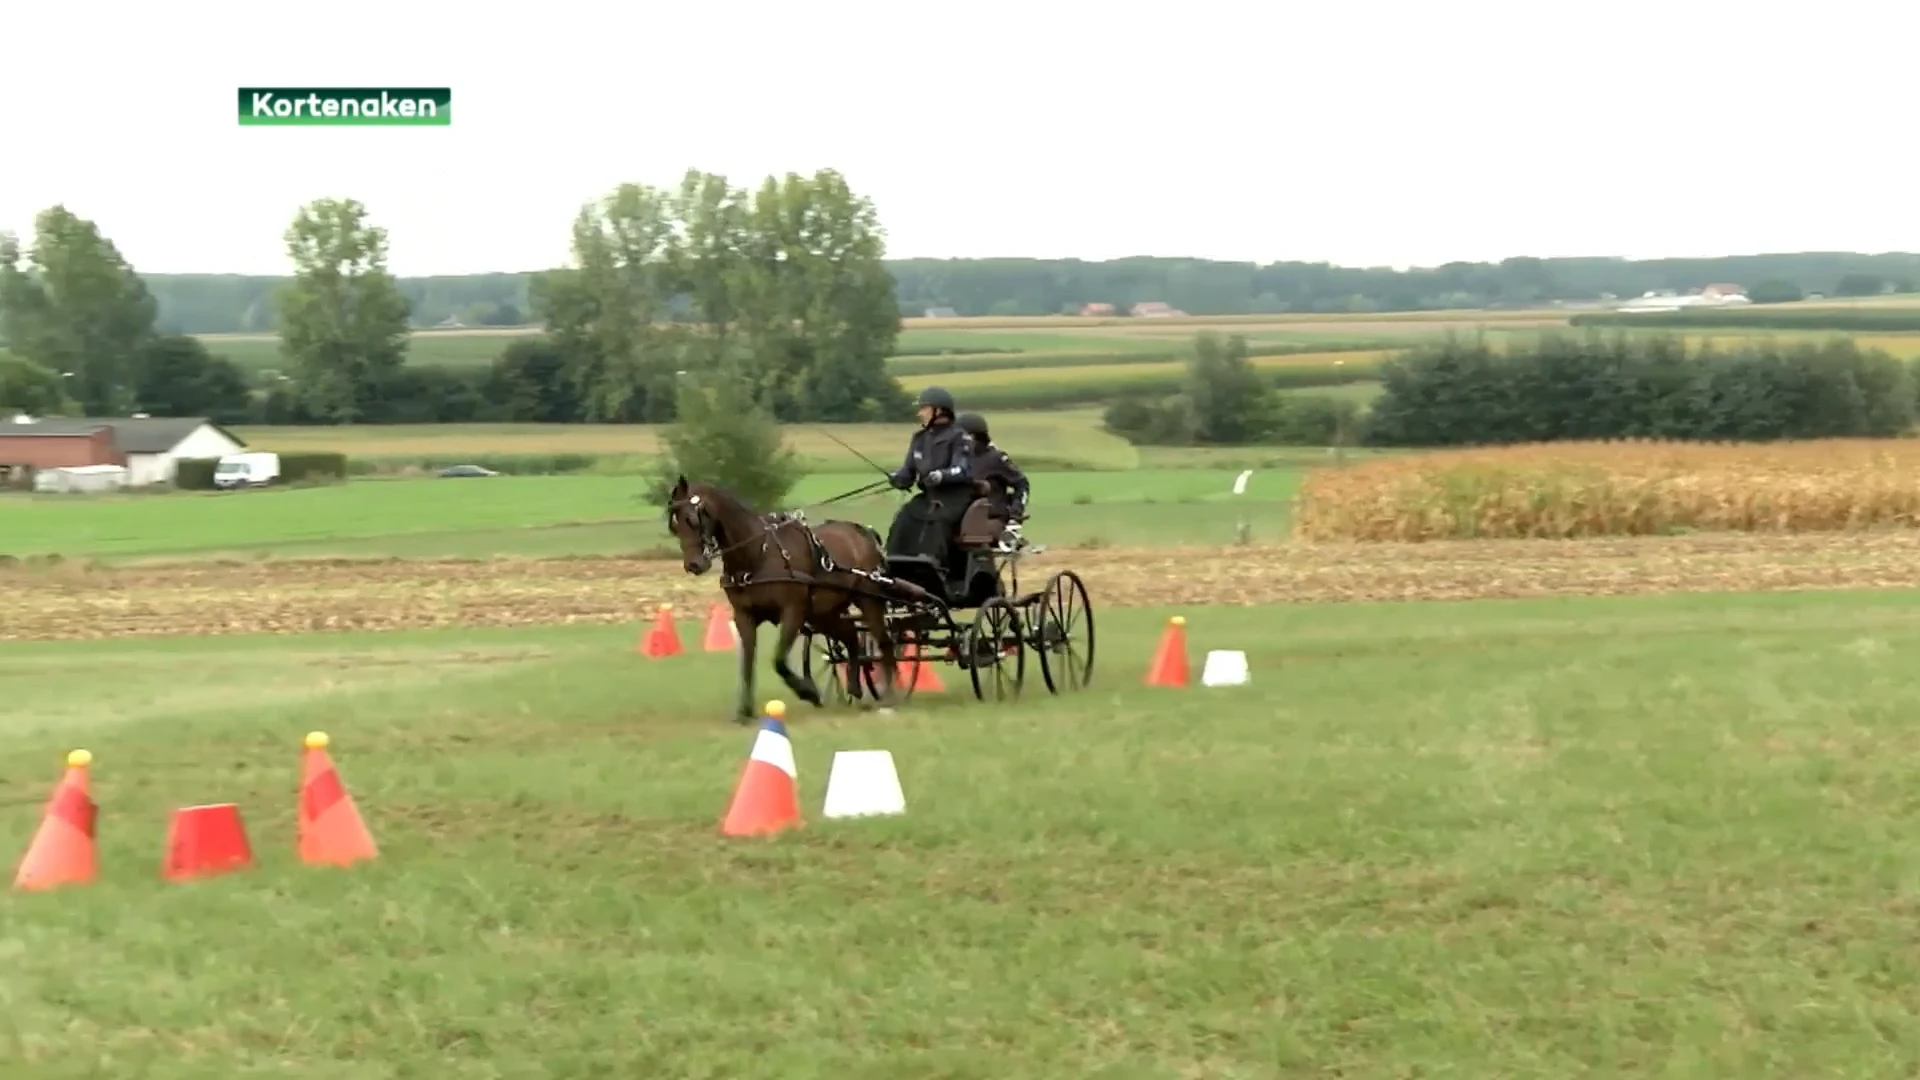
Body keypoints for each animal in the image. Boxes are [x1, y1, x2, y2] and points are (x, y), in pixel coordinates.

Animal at [668, 474, 929, 718]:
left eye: (692, 519)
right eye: (674, 525)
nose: (693, 565)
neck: (758, 554)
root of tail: (862, 532)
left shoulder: (792, 612)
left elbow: (779, 660)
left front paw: (808, 691)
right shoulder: (744, 616)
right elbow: (748, 661)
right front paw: (745, 710)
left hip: (868, 601)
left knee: (885, 643)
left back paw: (890, 694)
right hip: (824, 613)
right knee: (851, 637)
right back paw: (855, 687)